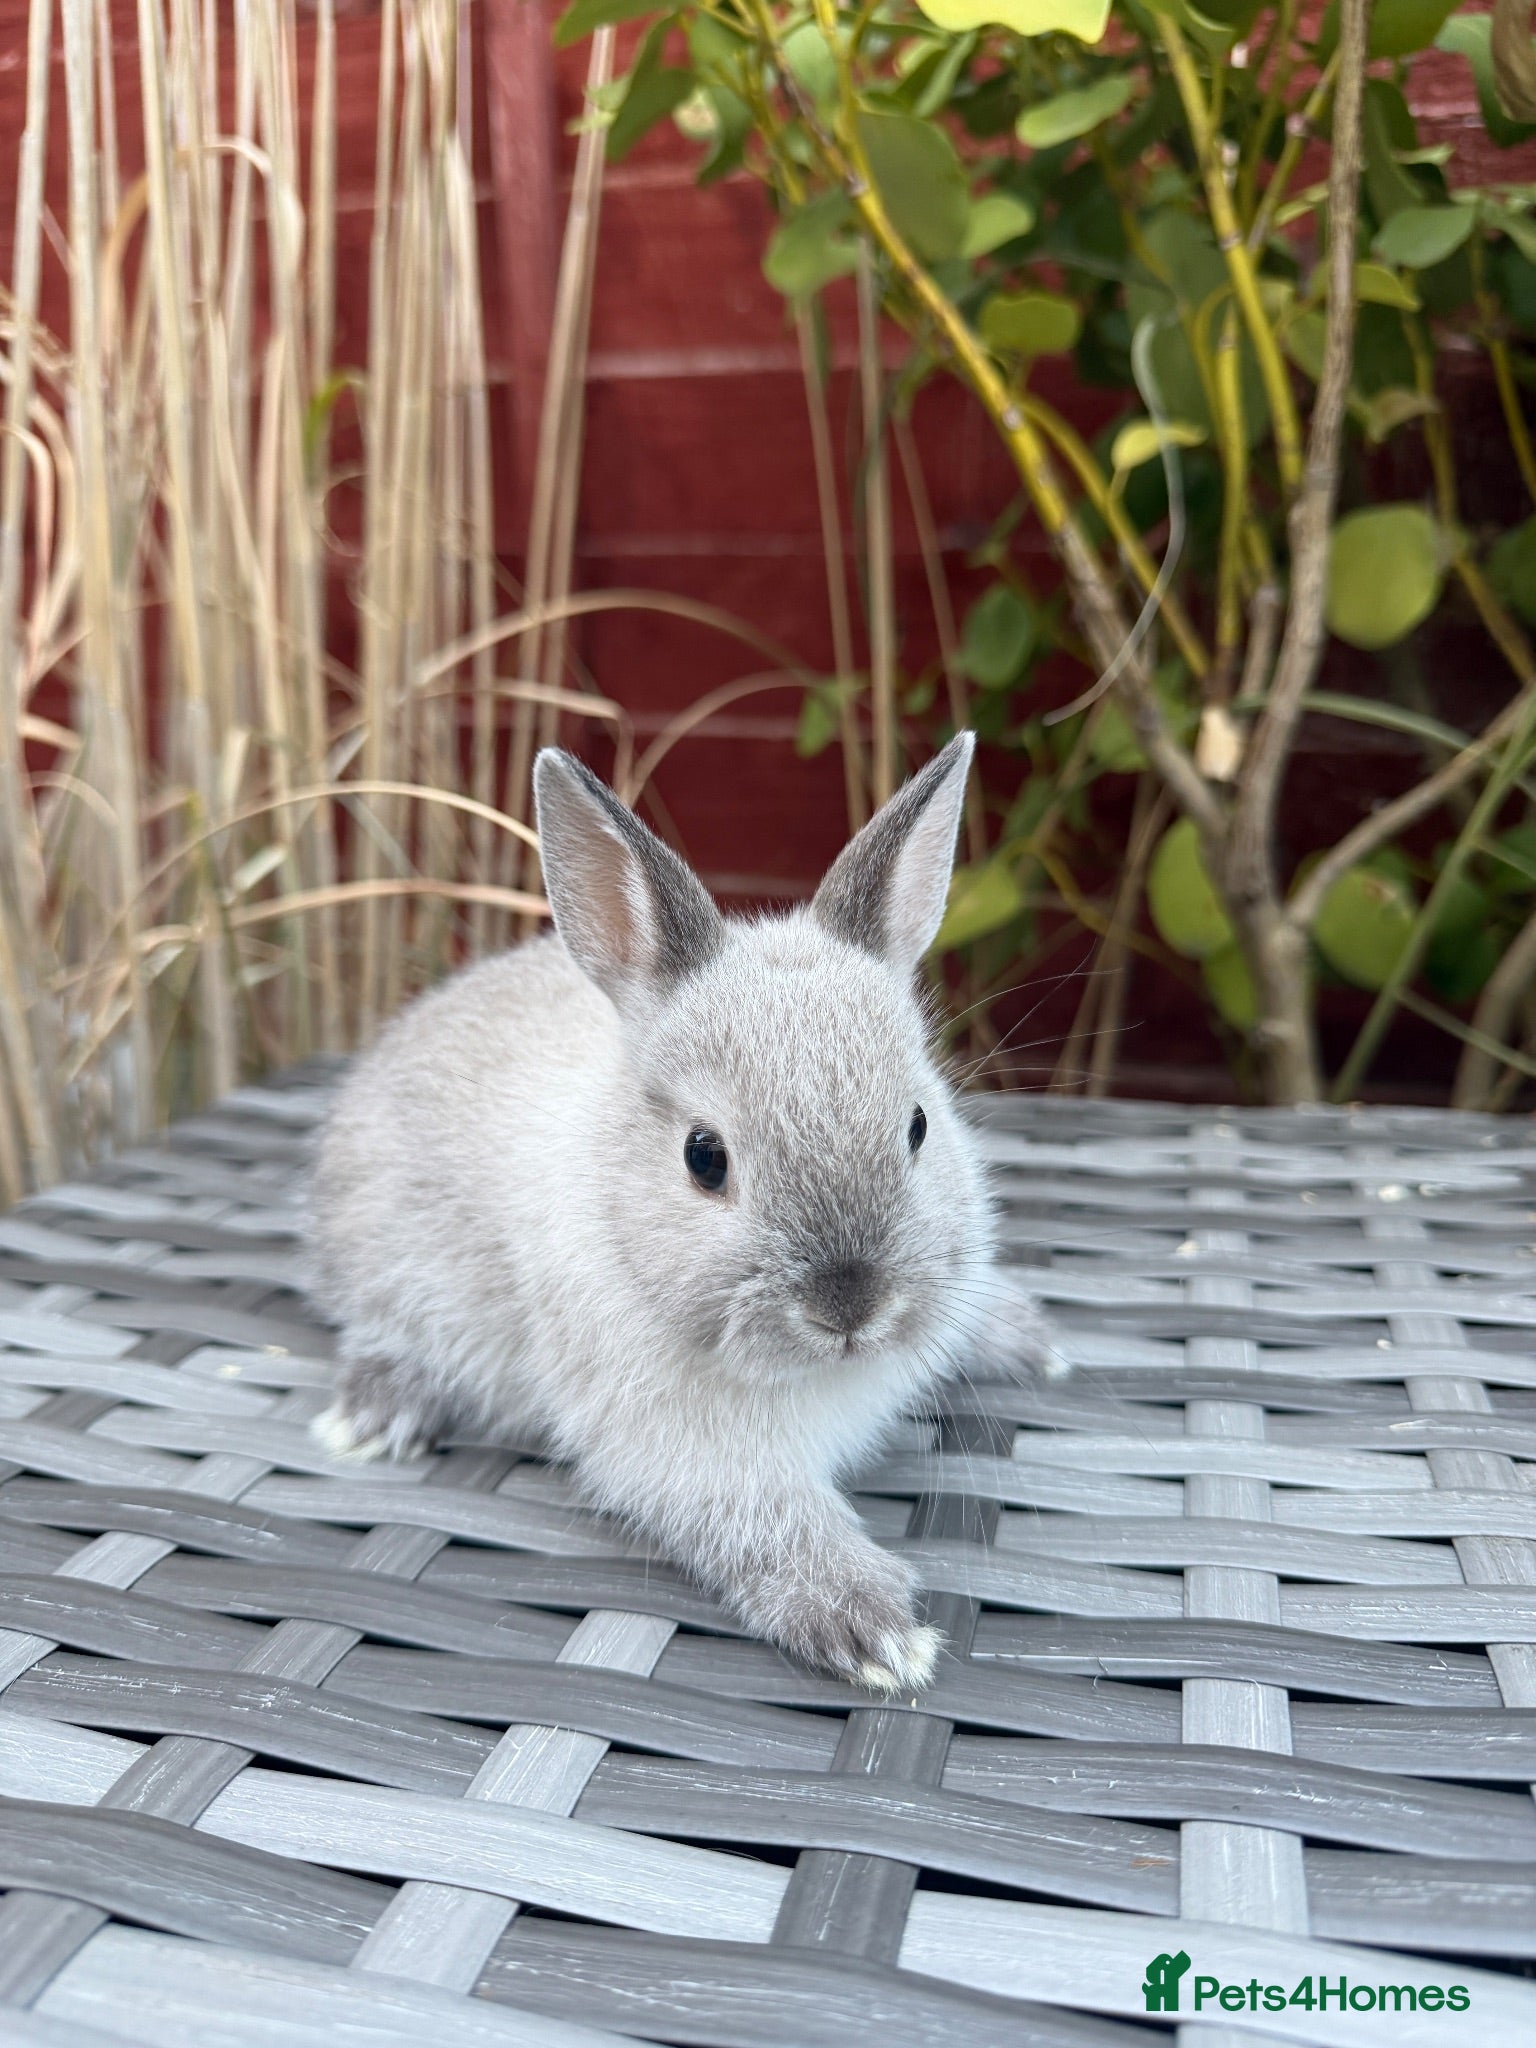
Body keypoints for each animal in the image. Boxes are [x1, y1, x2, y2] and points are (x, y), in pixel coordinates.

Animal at [307, 732, 1056, 1692]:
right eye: (705, 1157)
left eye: (920, 1125)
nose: (851, 1306)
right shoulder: (692, 1460)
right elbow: (772, 1529)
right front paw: (881, 1635)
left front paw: (1033, 1342)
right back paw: (371, 1419)